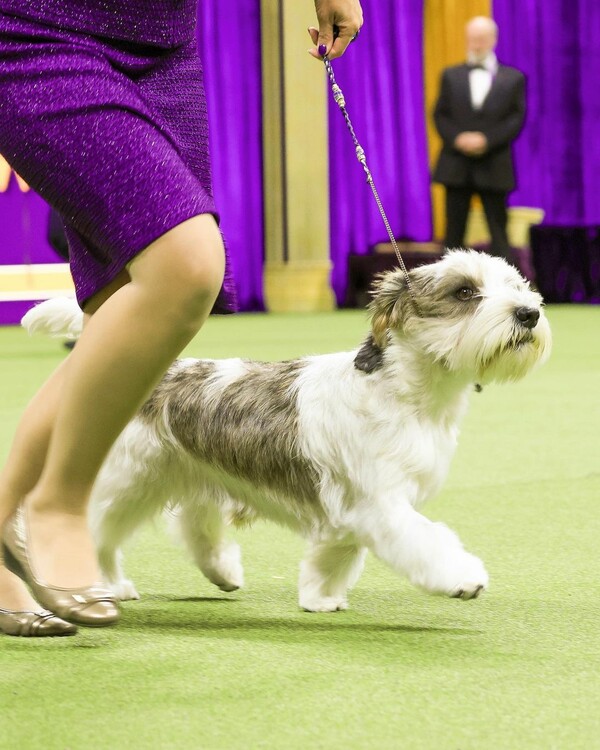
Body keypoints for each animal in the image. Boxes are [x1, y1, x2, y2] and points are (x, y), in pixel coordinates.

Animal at [24, 250, 552, 612]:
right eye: (464, 292)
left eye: (517, 284)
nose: (528, 313)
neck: (403, 393)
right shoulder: (382, 504)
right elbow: (426, 540)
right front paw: (462, 576)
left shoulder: (351, 510)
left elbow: (334, 555)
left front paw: (320, 597)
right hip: (128, 481)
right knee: (98, 533)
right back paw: (104, 585)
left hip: (186, 472)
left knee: (191, 524)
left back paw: (222, 571)